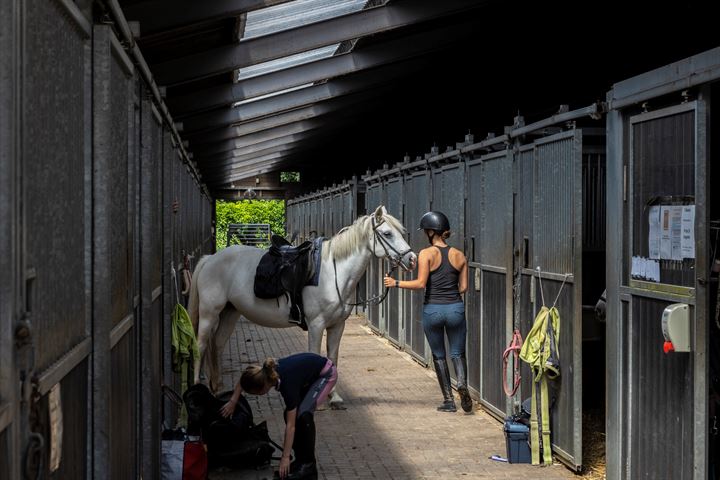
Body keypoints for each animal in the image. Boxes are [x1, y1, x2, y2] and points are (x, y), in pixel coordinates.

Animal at [188, 204, 416, 406]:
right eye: (387, 234)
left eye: (400, 232)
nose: (412, 259)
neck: (333, 272)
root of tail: (210, 259)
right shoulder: (316, 325)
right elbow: (316, 356)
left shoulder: (337, 326)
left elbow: (333, 358)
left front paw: (335, 397)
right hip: (209, 313)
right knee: (201, 345)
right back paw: (197, 387)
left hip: (230, 313)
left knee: (217, 345)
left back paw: (218, 388)